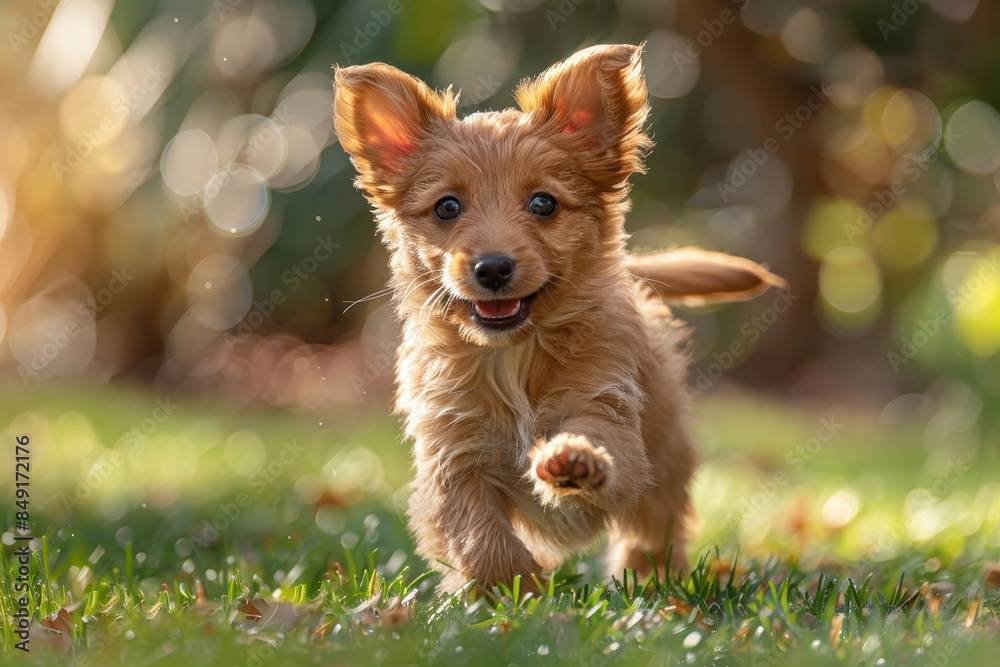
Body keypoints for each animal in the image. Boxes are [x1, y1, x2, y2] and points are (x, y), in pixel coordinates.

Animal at [332, 44, 784, 592]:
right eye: (446, 208)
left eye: (543, 202)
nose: (493, 268)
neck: (513, 357)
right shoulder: (452, 456)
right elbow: (479, 536)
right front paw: (512, 592)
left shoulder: (607, 407)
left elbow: (602, 446)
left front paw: (575, 460)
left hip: (666, 458)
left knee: (655, 529)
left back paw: (653, 583)